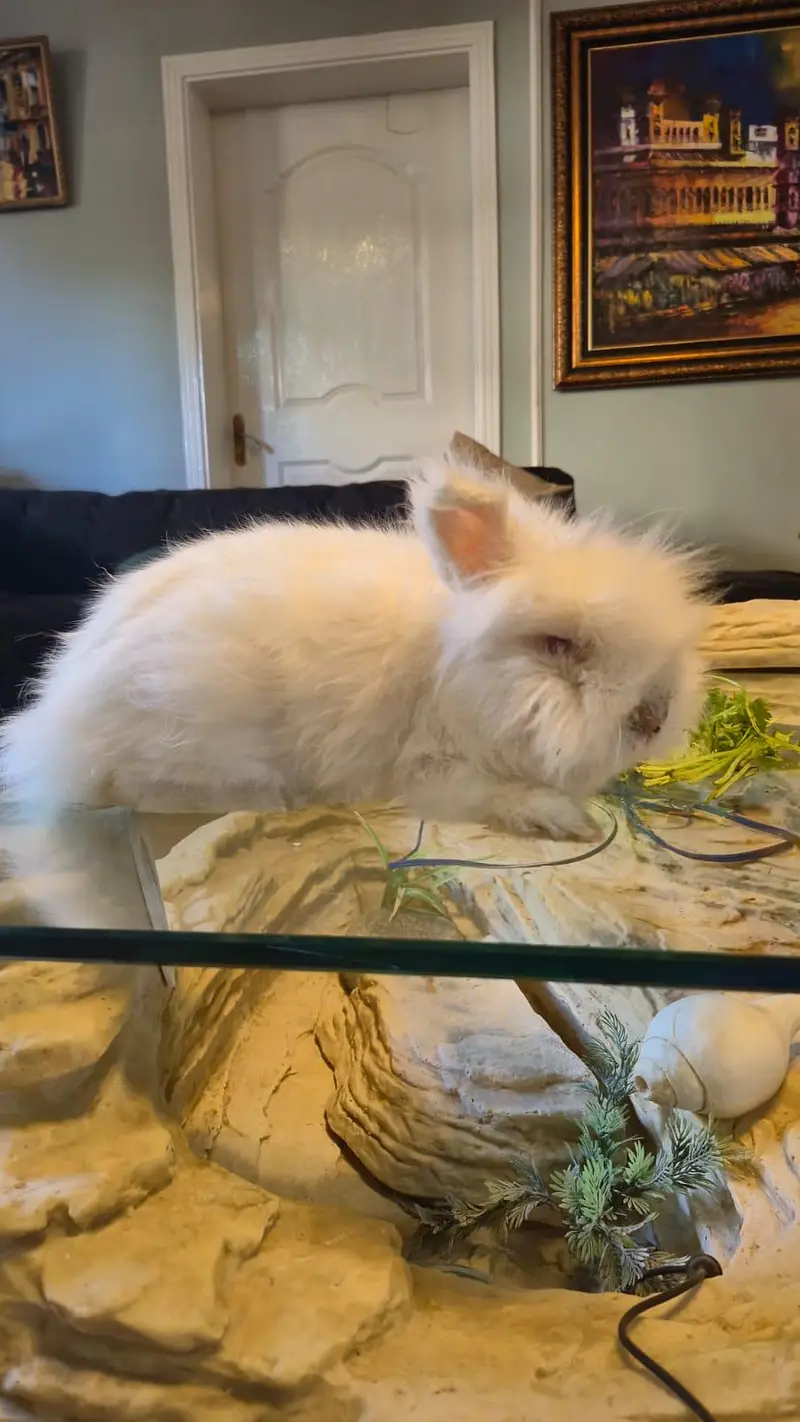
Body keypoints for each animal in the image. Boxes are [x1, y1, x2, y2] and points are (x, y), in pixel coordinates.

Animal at [0, 460, 710, 840]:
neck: (451, 672)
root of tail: (54, 718)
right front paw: (564, 817)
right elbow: (492, 794)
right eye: (558, 644)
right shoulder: (429, 769)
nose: (653, 717)